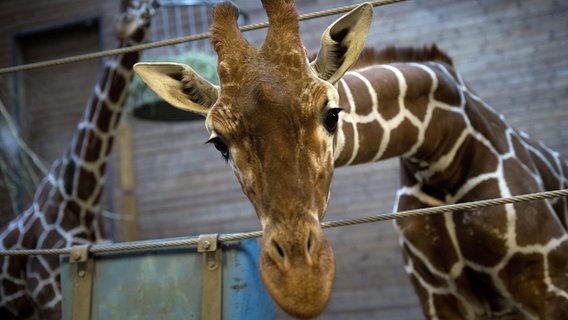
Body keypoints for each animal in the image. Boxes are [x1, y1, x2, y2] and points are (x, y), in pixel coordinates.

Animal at [135, 1, 568, 318]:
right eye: (218, 143)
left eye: (332, 114)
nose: (301, 283)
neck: (441, 153)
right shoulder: (439, 298)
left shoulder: (551, 286)